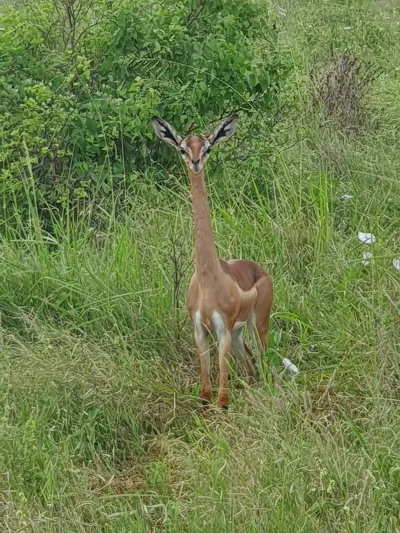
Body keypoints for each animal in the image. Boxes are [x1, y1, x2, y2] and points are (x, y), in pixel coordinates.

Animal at [152, 114, 274, 410]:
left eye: (207, 147)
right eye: (183, 148)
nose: (195, 162)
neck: (209, 282)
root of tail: (259, 269)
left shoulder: (222, 331)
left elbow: (222, 398)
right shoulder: (199, 330)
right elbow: (206, 395)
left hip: (258, 324)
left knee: (264, 362)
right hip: (240, 335)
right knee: (251, 365)